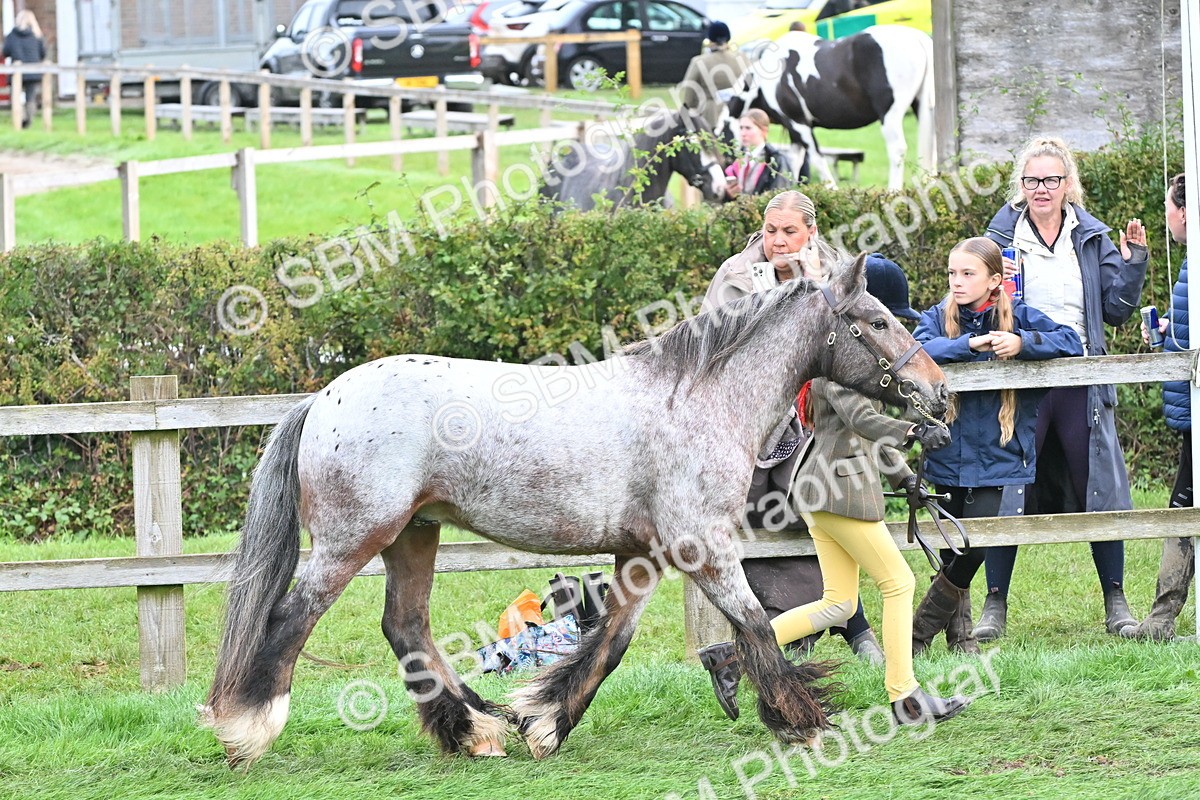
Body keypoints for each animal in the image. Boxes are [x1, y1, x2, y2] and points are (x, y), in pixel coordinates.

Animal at [200, 251, 949, 768]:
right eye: (877, 322)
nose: (937, 395)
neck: (695, 400)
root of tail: (324, 398)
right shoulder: (701, 545)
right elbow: (756, 624)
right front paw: (802, 719)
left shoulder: (642, 556)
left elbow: (610, 644)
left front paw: (545, 723)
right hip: (351, 543)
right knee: (292, 620)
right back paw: (248, 732)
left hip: (413, 535)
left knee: (405, 627)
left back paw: (478, 730)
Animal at [720, 26, 936, 191]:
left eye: (723, 136)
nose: (726, 171)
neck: (767, 80)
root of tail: (917, 38)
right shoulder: (794, 132)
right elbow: (795, 163)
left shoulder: (800, 125)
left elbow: (817, 160)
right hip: (921, 107)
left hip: (890, 115)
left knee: (897, 150)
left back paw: (893, 191)